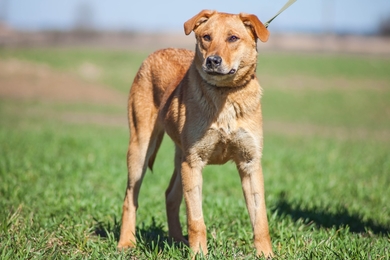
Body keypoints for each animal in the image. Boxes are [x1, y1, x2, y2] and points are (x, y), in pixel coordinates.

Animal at [117, 10, 272, 258]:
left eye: (233, 38)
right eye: (206, 37)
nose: (213, 61)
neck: (225, 95)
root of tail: (156, 52)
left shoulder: (250, 163)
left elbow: (260, 219)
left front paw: (266, 254)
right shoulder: (194, 162)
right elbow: (196, 220)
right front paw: (199, 253)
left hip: (180, 157)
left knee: (170, 195)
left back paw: (177, 240)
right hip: (141, 149)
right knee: (130, 198)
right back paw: (126, 243)